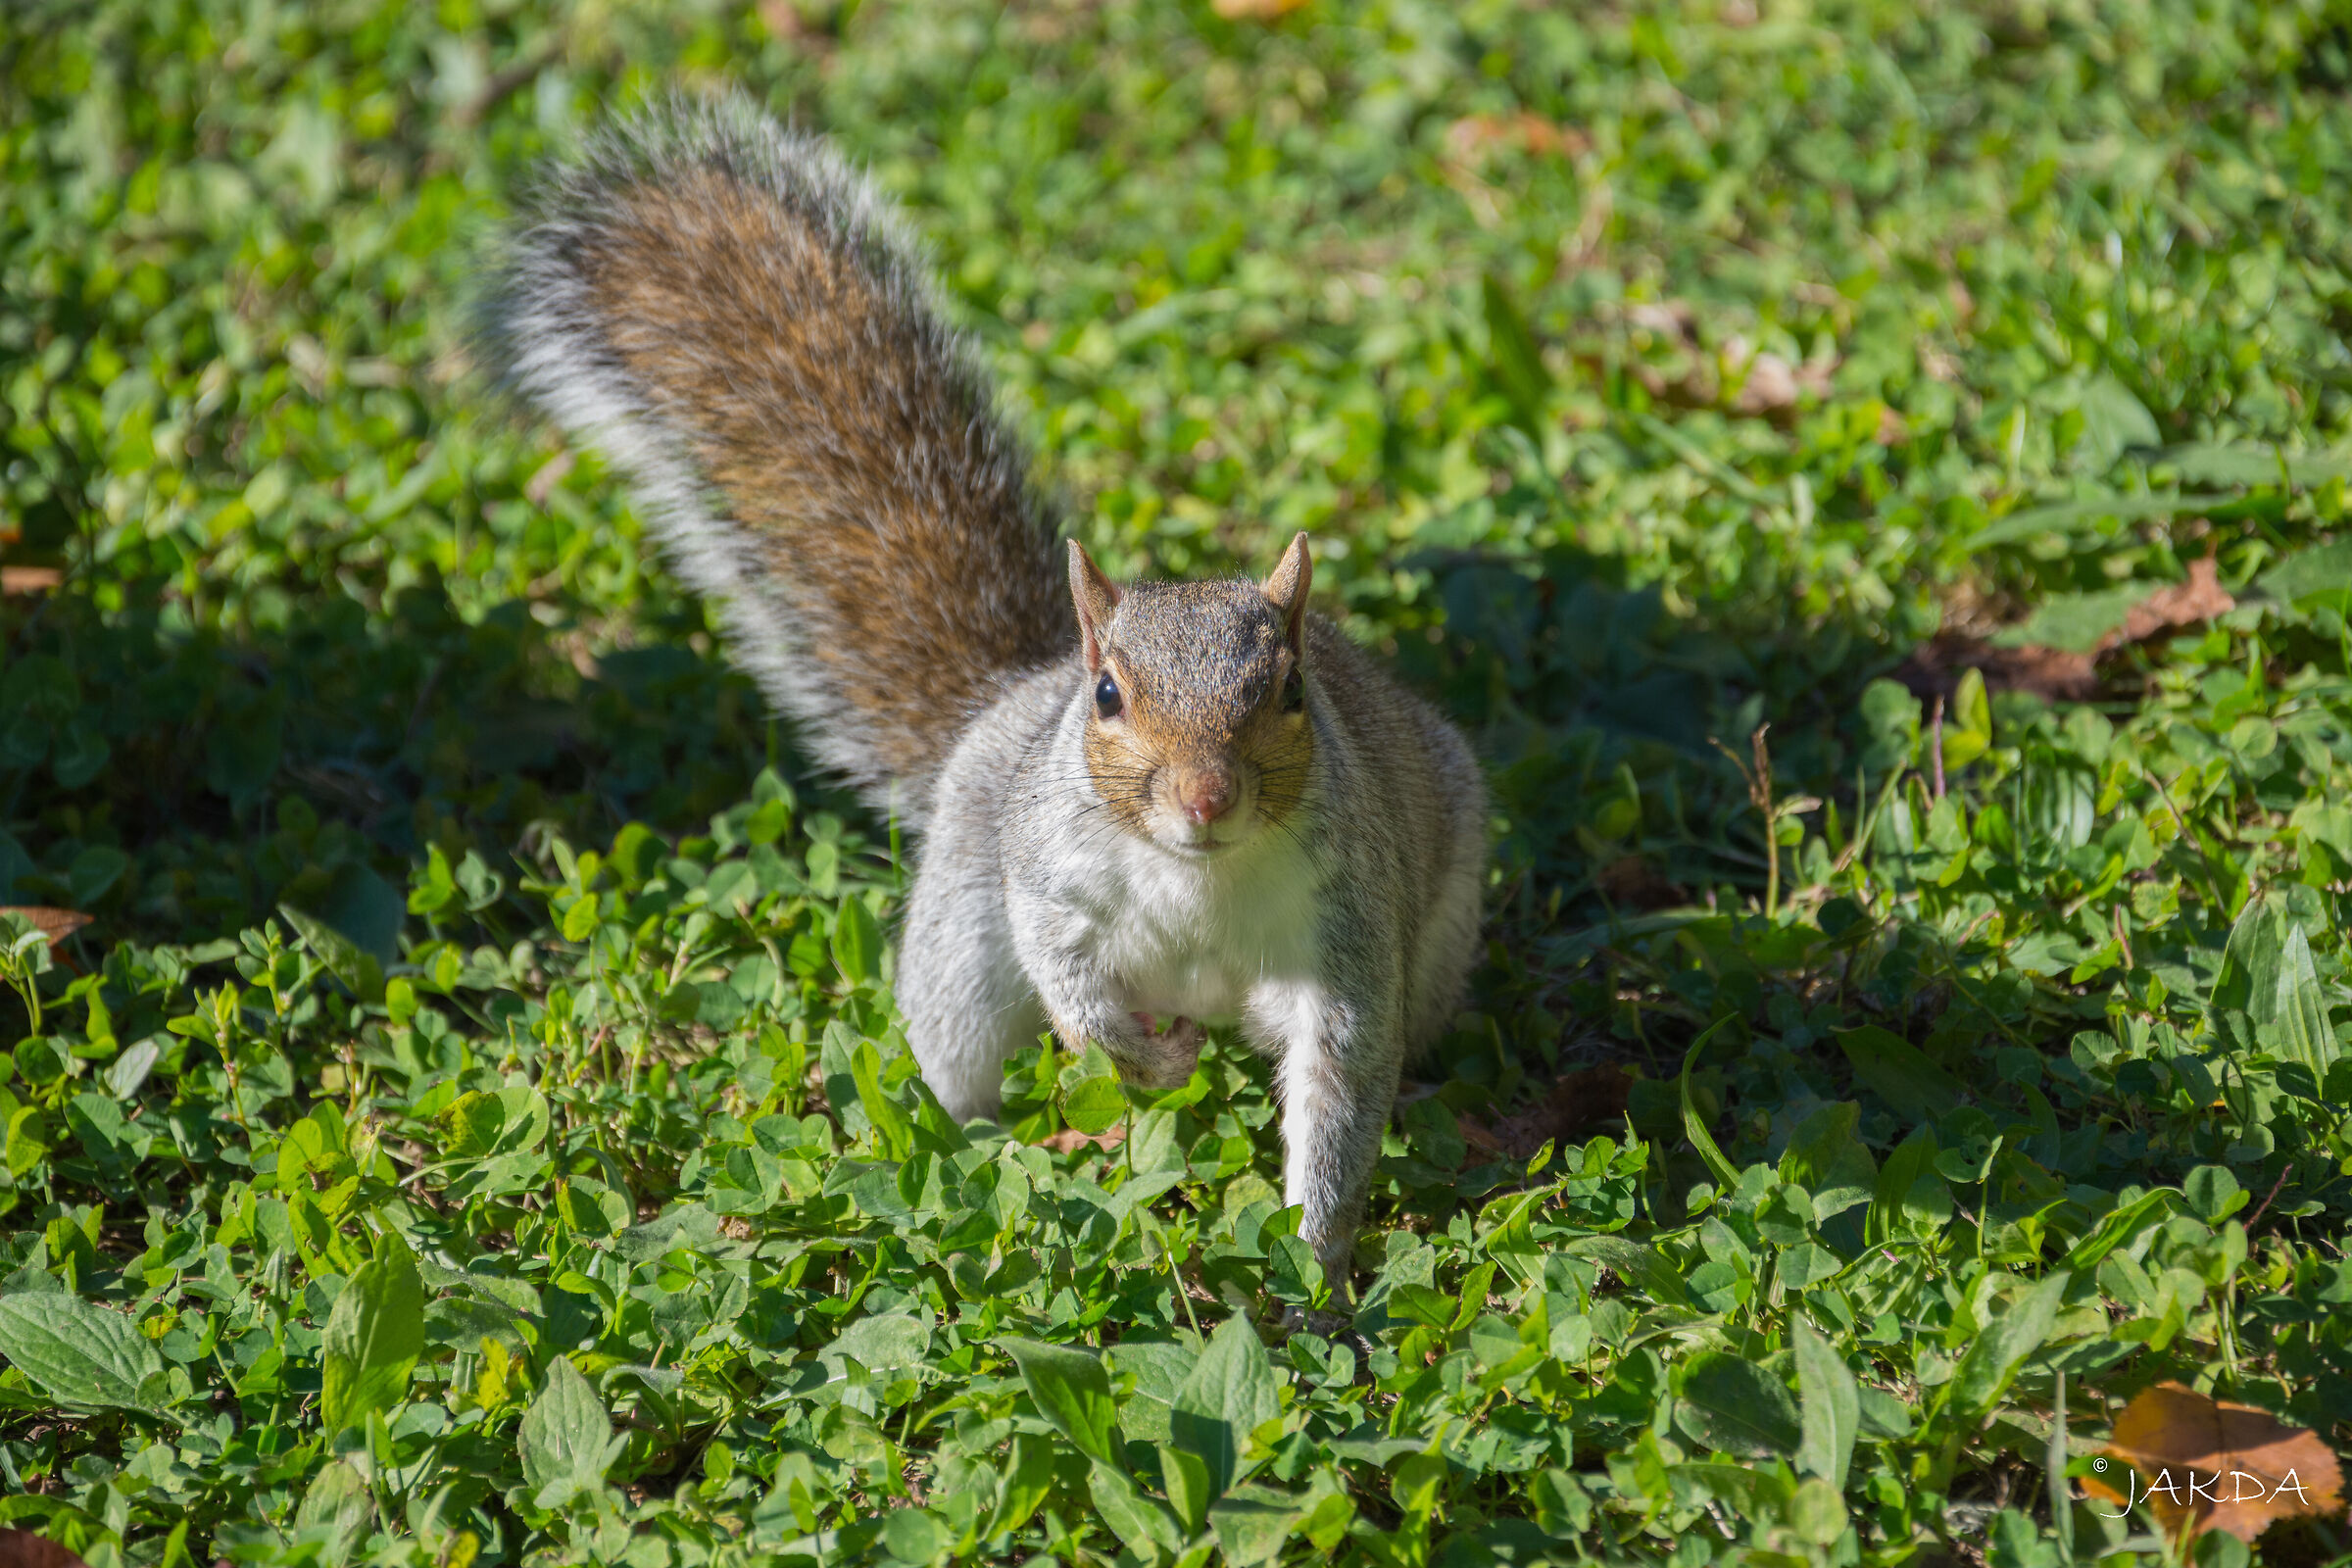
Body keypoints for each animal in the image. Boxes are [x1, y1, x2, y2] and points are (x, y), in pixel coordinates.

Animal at [484, 96, 1488, 1287]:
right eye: (1109, 697)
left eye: (1290, 689)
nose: (1205, 798)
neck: (1197, 875)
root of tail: (1013, 689)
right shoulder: (1049, 879)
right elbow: (1072, 984)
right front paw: (1149, 1064)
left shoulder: (1345, 933)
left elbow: (1339, 1092)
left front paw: (1317, 1272)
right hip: (960, 940)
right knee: (963, 1049)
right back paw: (996, 1143)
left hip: (1438, 935)